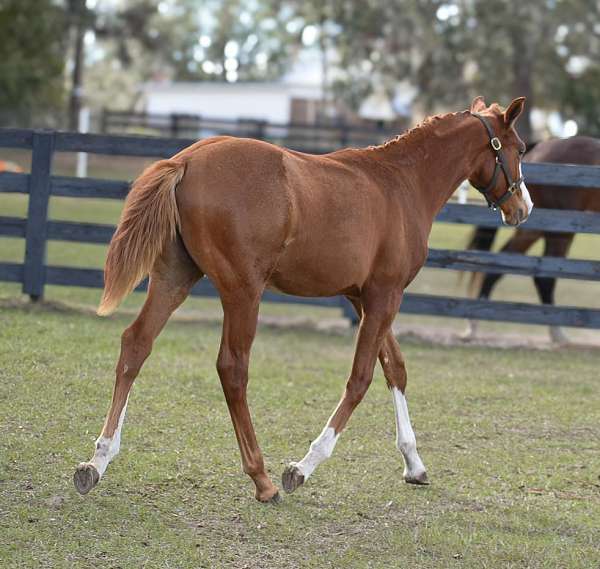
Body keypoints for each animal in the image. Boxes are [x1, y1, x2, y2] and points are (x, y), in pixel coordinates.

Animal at [74, 96, 528, 502]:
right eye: (521, 148)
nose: (523, 207)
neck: (402, 184)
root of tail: (187, 160)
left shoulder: (364, 298)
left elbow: (394, 369)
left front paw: (414, 465)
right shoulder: (386, 296)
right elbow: (360, 379)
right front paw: (302, 467)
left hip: (174, 278)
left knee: (136, 344)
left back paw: (97, 462)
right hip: (243, 292)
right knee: (232, 368)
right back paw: (262, 480)